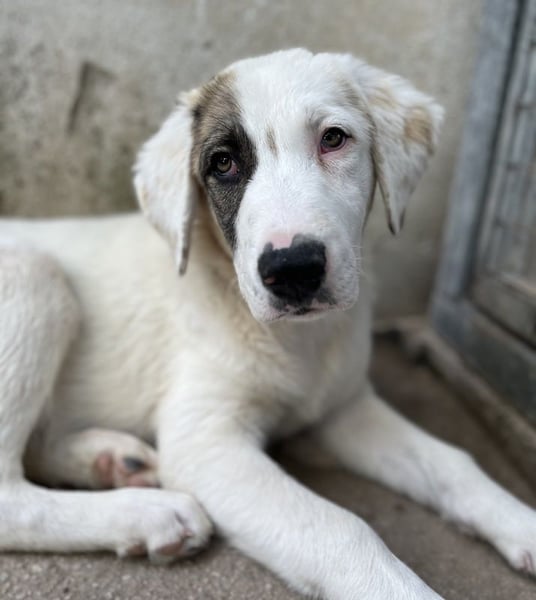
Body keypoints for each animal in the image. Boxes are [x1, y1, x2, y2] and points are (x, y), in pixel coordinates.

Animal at [1, 49, 535, 600]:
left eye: (333, 138)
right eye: (223, 163)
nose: (293, 268)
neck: (297, 340)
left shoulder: (343, 411)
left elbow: (453, 462)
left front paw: (523, 525)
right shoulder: (207, 442)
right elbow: (342, 528)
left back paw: (112, 460)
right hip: (34, 277)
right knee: (10, 497)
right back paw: (148, 514)